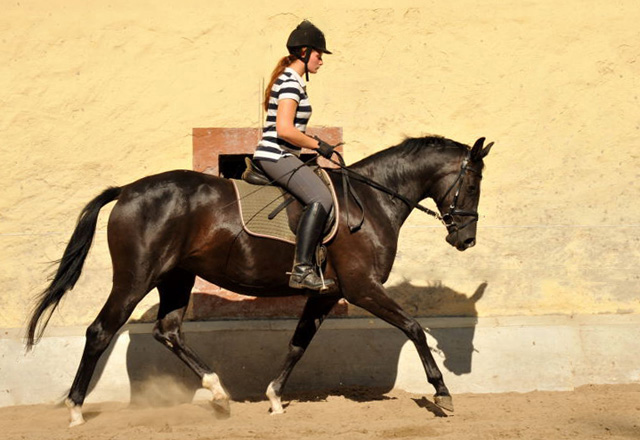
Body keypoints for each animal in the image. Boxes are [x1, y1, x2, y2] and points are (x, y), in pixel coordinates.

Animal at [25, 135, 492, 426]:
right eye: (472, 183)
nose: (465, 239)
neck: (371, 201)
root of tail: (126, 190)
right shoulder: (362, 288)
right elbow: (414, 327)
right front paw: (442, 392)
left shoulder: (327, 294)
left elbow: (299, 343)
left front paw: (274, 398)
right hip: (135, 277)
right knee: (100, 331)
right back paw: (75, 410)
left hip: (176, 277)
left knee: (168, 330)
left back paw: (218, 395)